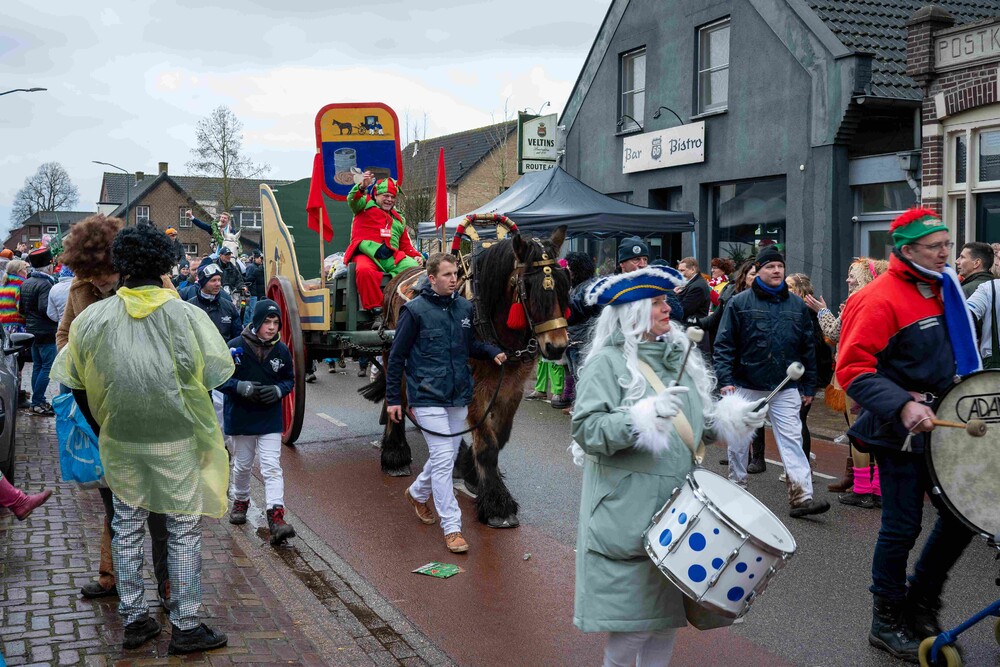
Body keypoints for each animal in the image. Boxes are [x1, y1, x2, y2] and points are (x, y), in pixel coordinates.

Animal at [360, 225, 570, 528]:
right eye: (528, 287)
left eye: (565, 283)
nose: (557, 347)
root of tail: (397, 278)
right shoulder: (474, 388)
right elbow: (487, 444)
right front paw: (497, 504)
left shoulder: (513, 388)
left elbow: (498, 436)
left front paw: (471, 472)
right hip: (394, 354)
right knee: (396, 398)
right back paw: (395, 455)